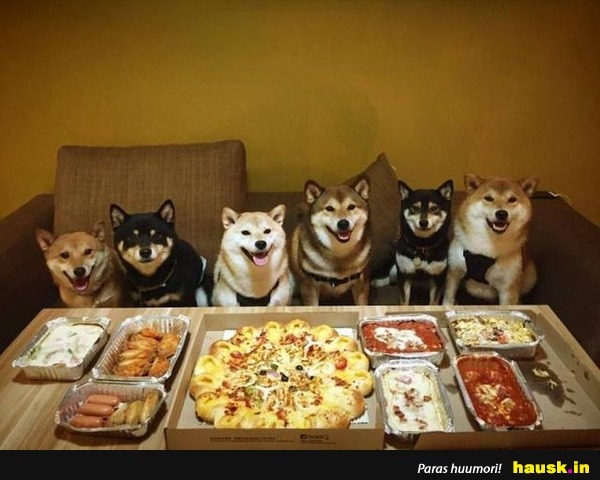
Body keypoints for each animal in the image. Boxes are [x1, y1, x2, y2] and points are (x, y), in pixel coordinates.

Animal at [289, 177, 371, 306]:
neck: (340, 253)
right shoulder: (309, 286)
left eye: (351, 207)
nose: (343, 223)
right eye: (329, 208)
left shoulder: (361, 283)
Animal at [443, 174, 539, 306]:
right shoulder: (455, 271)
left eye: (512, 199)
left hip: (531, 275)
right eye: (488, 198)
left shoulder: (508, 286)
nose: (502, 213)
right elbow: (449, 296)